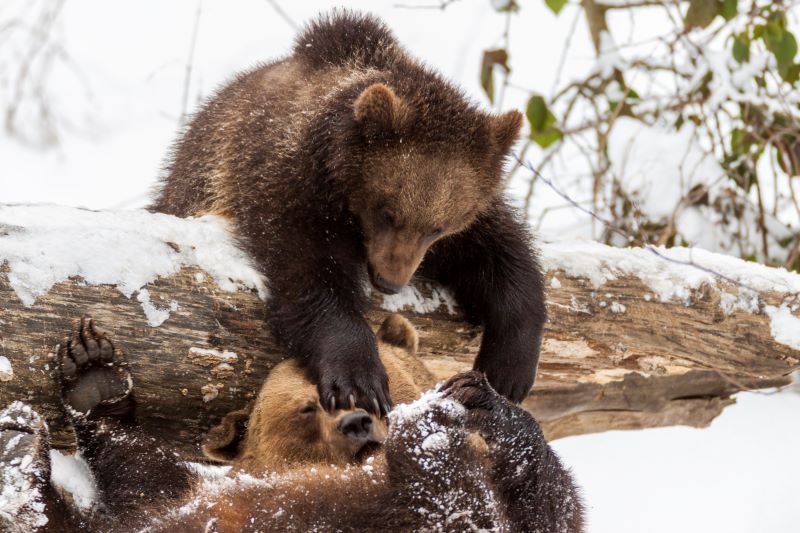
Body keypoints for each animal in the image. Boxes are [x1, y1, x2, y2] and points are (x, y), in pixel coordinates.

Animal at [3, 318, 584, 528]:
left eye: (372, 390)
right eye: (308, 408)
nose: (356, 425)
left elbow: (547, 509)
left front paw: (476, 399)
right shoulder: (210, 488)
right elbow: (145, 474)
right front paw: (93, 376)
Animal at [152, 10, 548, 414]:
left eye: (438, 228)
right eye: (387, 213)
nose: (389, 281)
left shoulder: (467, 218)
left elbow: (503, 256)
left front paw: (507, 371)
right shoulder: (284, 183)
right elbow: (309, 273)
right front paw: (359, 379)